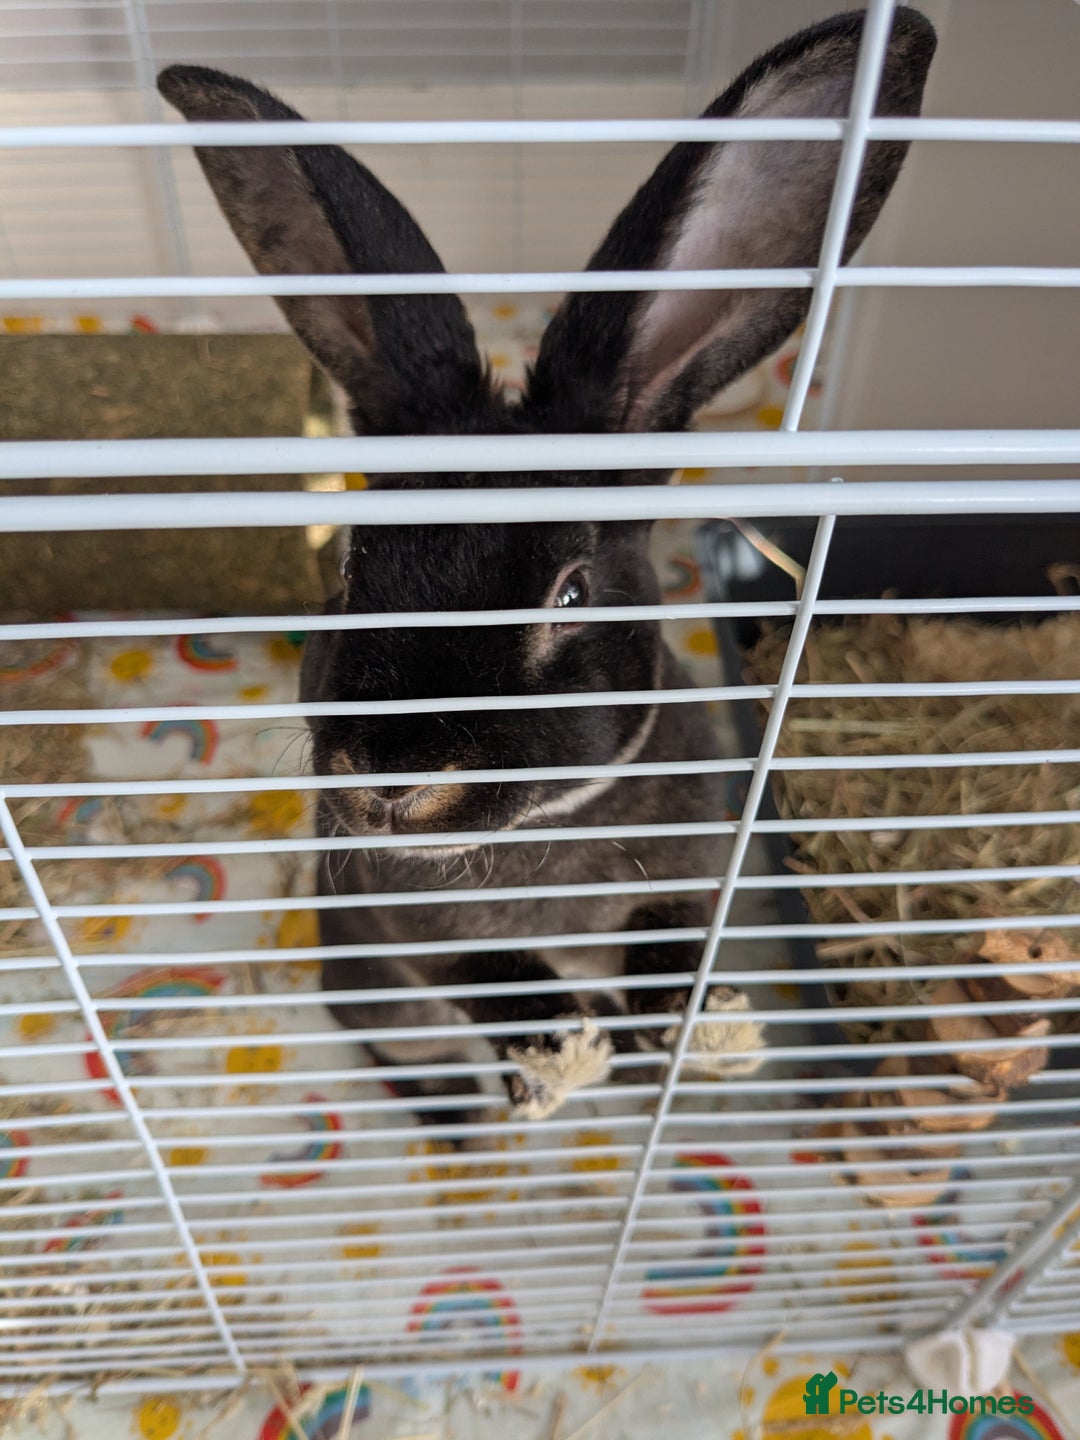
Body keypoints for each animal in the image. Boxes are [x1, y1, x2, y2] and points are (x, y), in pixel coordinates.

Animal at [158, 6, 935, 1134]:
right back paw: (469, 1113)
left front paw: (706, 1031)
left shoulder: (691, 872)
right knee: (403, 1048)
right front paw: (564, 1050)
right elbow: (490, 969)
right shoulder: (413, 927)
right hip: (365, 987)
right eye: (352, 566)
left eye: (572, 592)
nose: (394, 781)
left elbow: (667, 940)